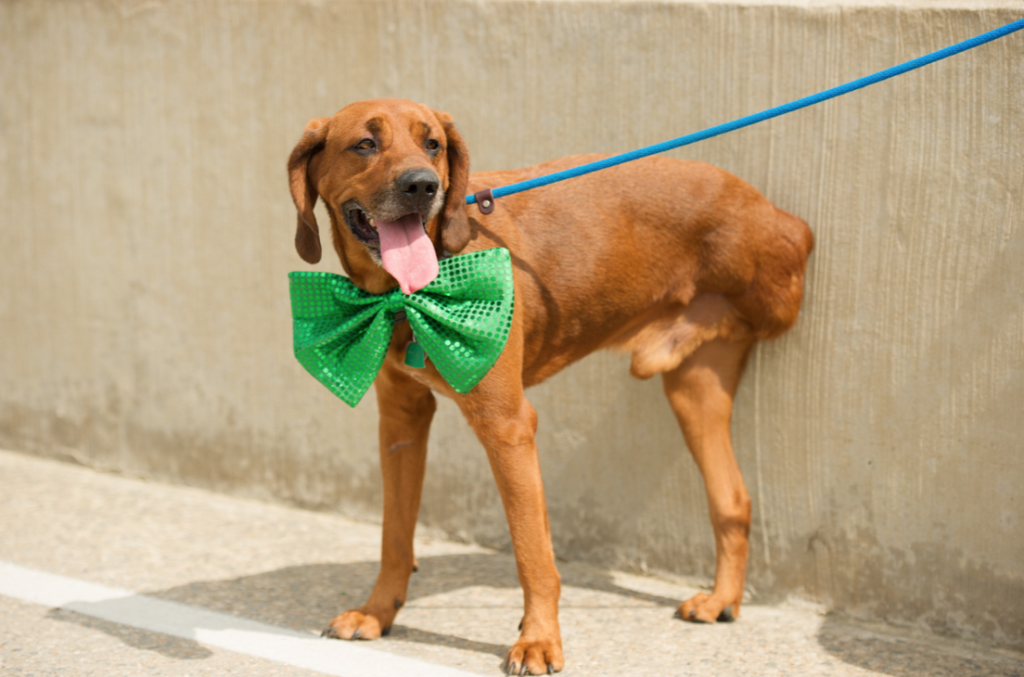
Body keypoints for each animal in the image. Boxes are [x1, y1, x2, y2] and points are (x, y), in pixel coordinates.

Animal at [284, 97, 811, 671]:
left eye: (433, 144)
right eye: (365, 144)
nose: (424, 185)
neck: (410, 292)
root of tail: (781, 219)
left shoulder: (508, 426)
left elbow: (532, 552)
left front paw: (538, 640)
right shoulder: (401, 421)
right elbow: (394, 537)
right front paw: (378, 613)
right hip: (694, 390)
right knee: (733, 499)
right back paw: (722, 600)